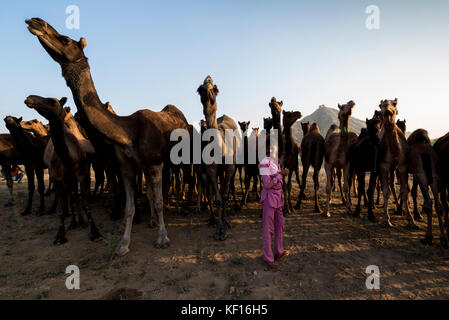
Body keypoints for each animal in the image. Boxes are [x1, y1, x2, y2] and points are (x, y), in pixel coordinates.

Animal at [25, 94, 101, 242]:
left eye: (52, 101)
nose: (29, 98)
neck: (69, 158)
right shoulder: (57, 177)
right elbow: (61, 207)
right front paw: (60, 236)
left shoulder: (82, 173)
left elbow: (85, 203)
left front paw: (95, 232)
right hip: (64, 177)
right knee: (70, 196)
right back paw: (73, 223)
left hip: (72, 176)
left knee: (74, 194)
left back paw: (80, 222)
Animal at [196, 75, 238, 240]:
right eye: (200, 89)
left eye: (215, 88)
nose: (208, 79)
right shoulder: (211, 169)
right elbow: (217, 197)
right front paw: (219, 230)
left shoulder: (230, 167)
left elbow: (224, 195)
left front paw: (226, 222)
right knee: (211, 192)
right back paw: (212, 220)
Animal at [376, 98, 418, 228]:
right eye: (380, 105)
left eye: (394, 104)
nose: (387, 111)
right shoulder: (383, 165)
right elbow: (385, 191)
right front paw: (386, 219)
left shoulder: (403, 165)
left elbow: (405, 191)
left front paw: (411, 219)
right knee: (389, 185)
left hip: (394, 168)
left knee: (394, 185)